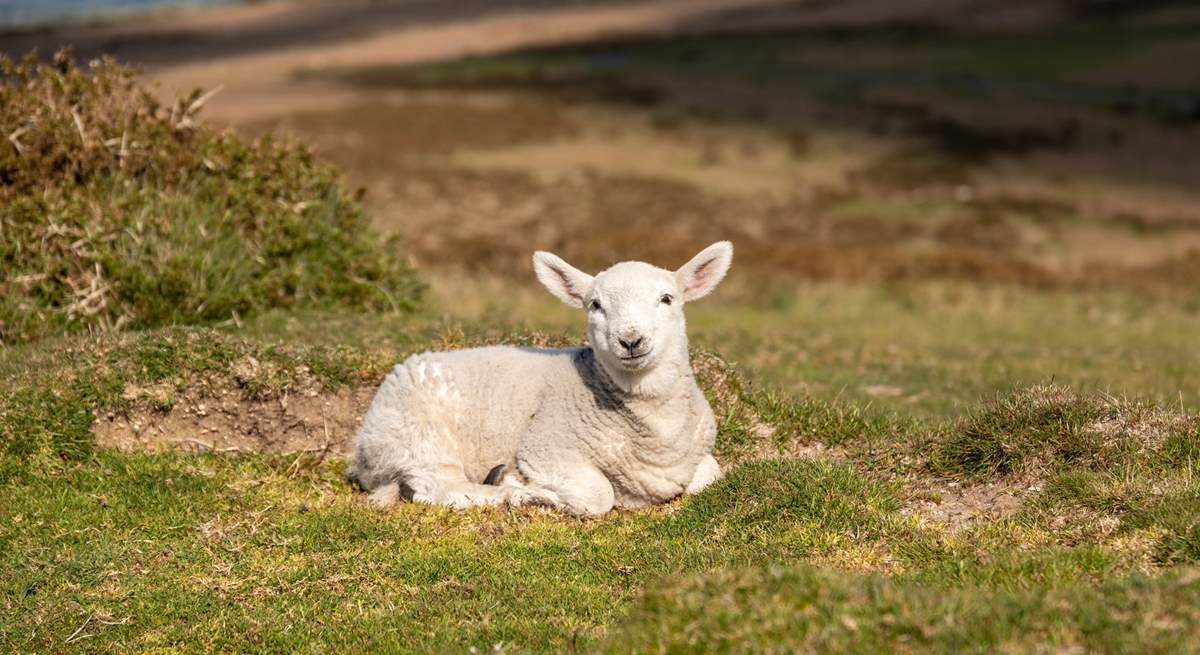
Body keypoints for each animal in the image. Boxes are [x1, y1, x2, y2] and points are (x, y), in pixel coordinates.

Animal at [345, 239, 729, 515]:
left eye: (667, 299)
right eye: (595, 305)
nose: (631, 341)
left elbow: (711, 474)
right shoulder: (545, 448)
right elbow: (599, 495)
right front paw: (531, 494)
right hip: (420, 438)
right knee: (430, 488)